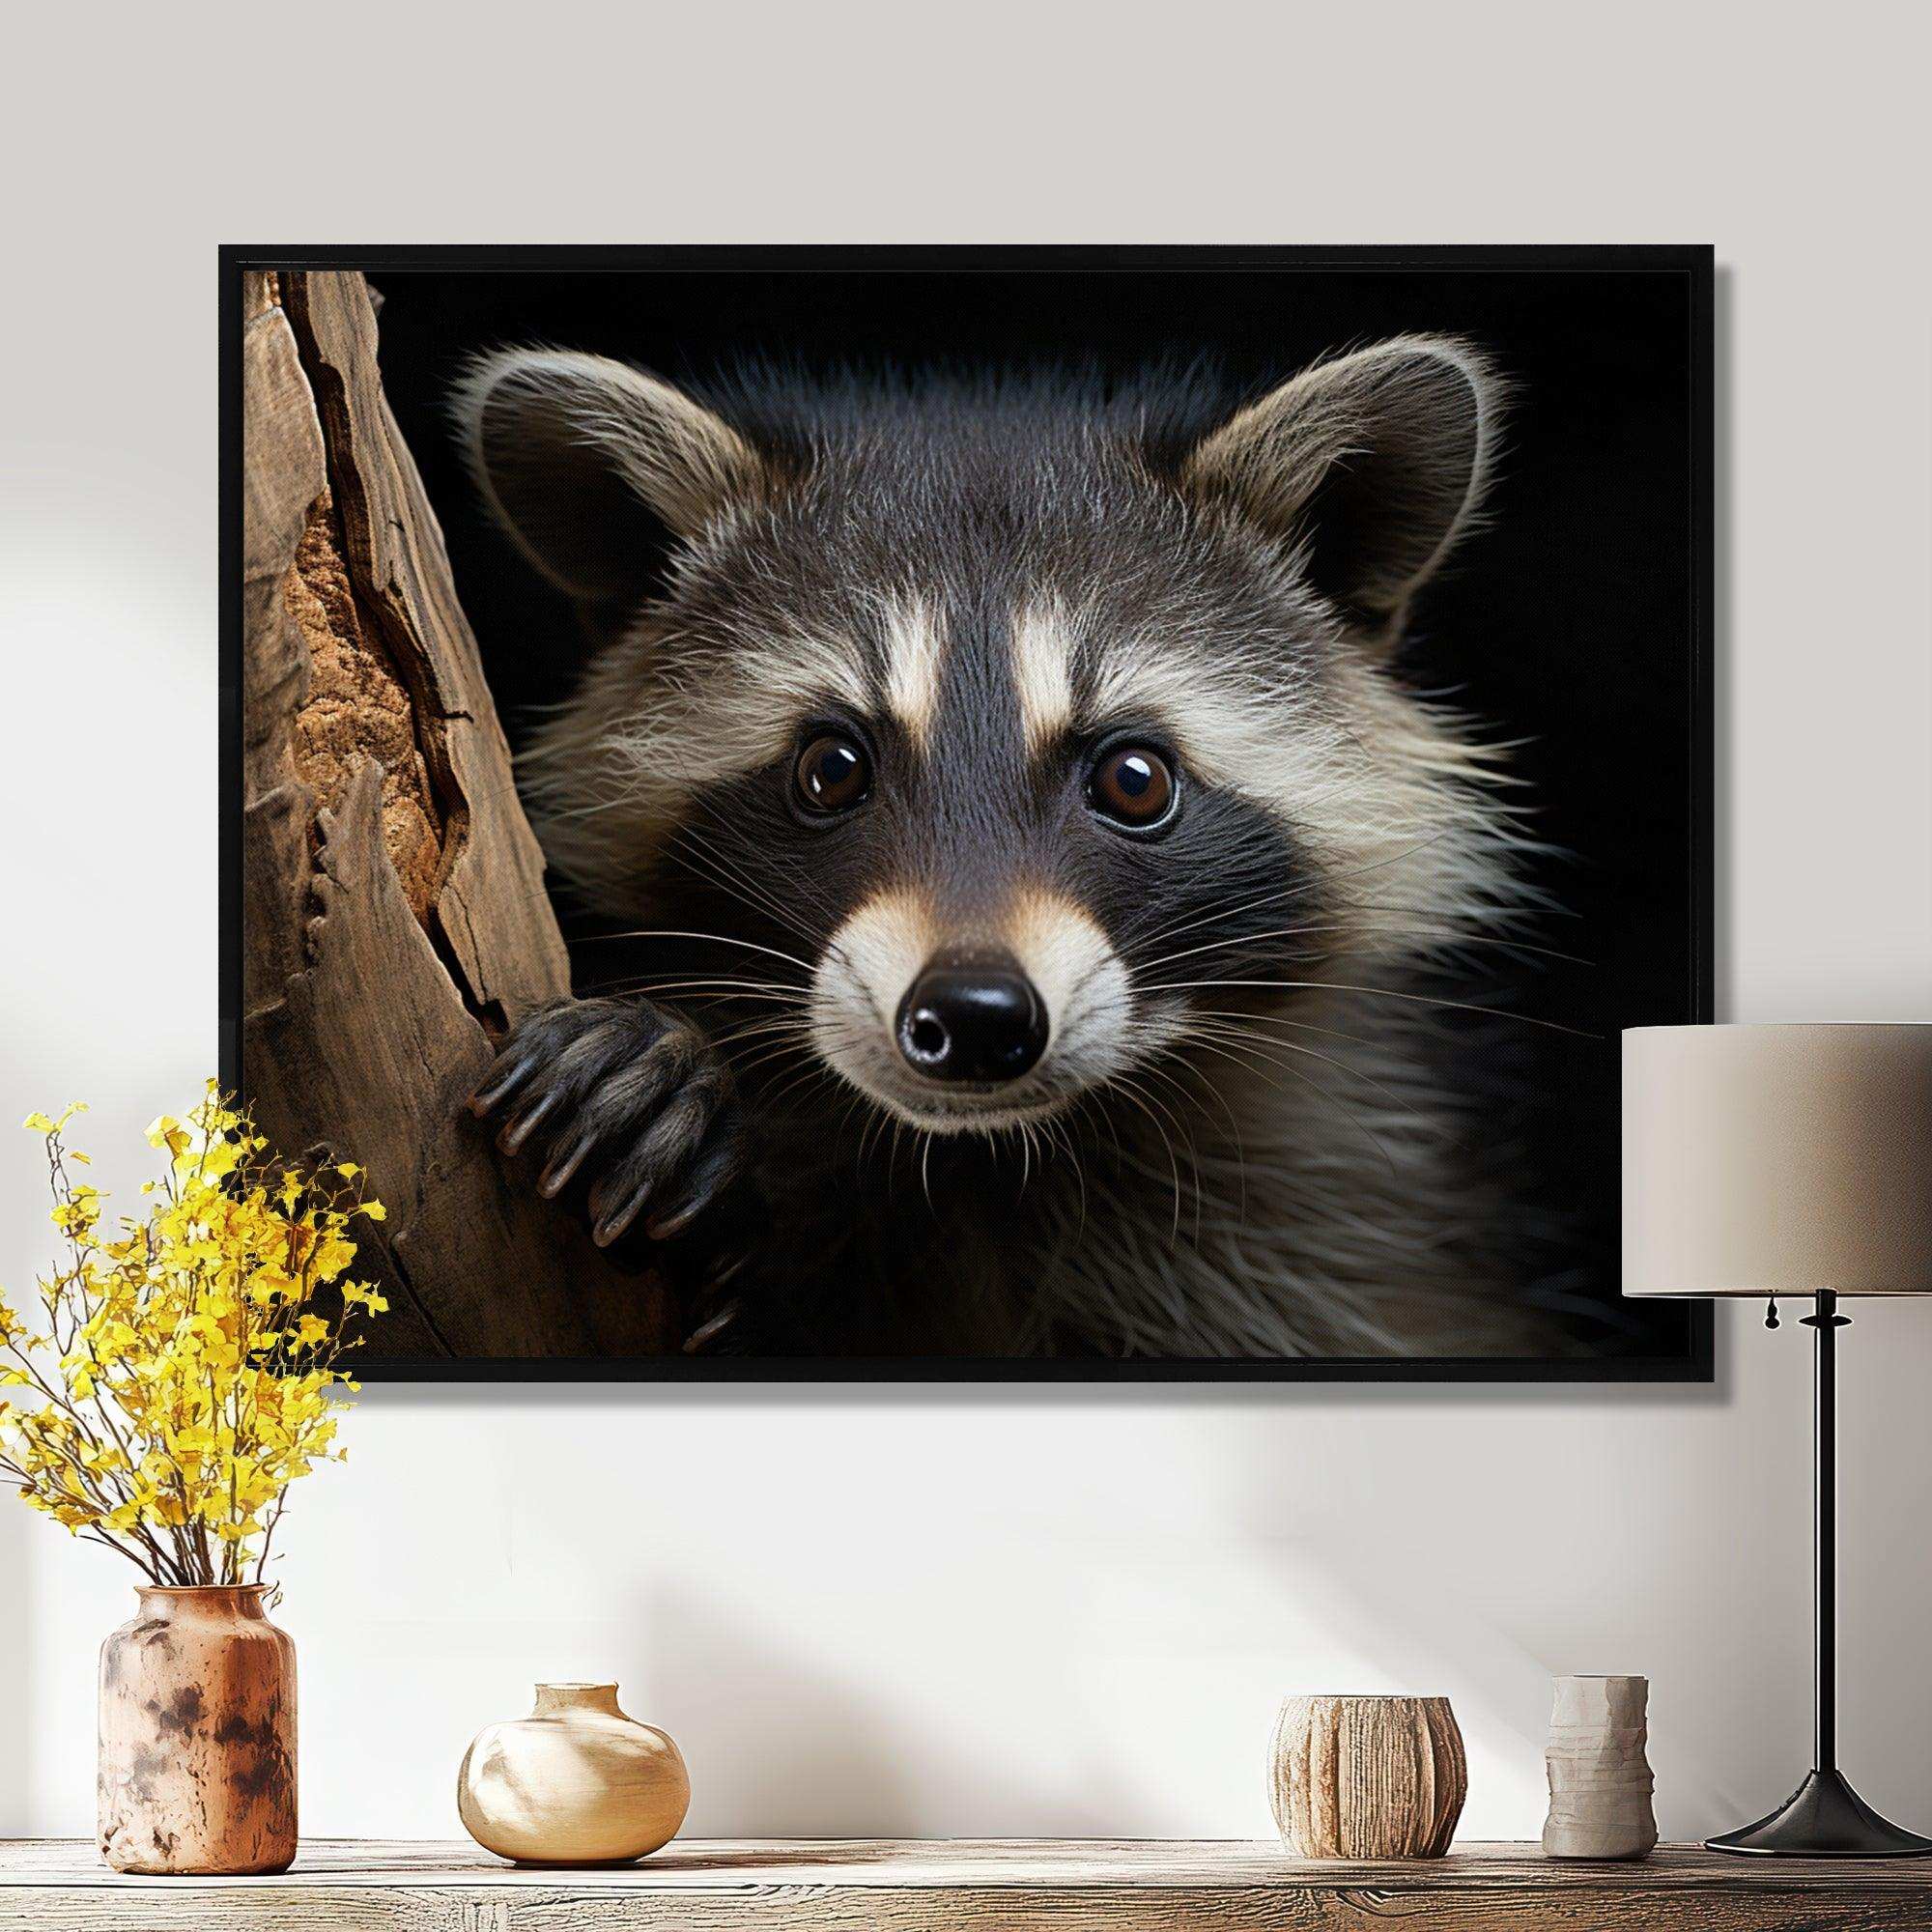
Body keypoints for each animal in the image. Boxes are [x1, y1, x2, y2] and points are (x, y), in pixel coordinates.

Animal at [456, 336, 1568, 1360]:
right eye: (831, 768)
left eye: (1134, 779)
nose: (974, 1015)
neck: (985, 1158)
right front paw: (665, 1069)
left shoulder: (1343, 1218)